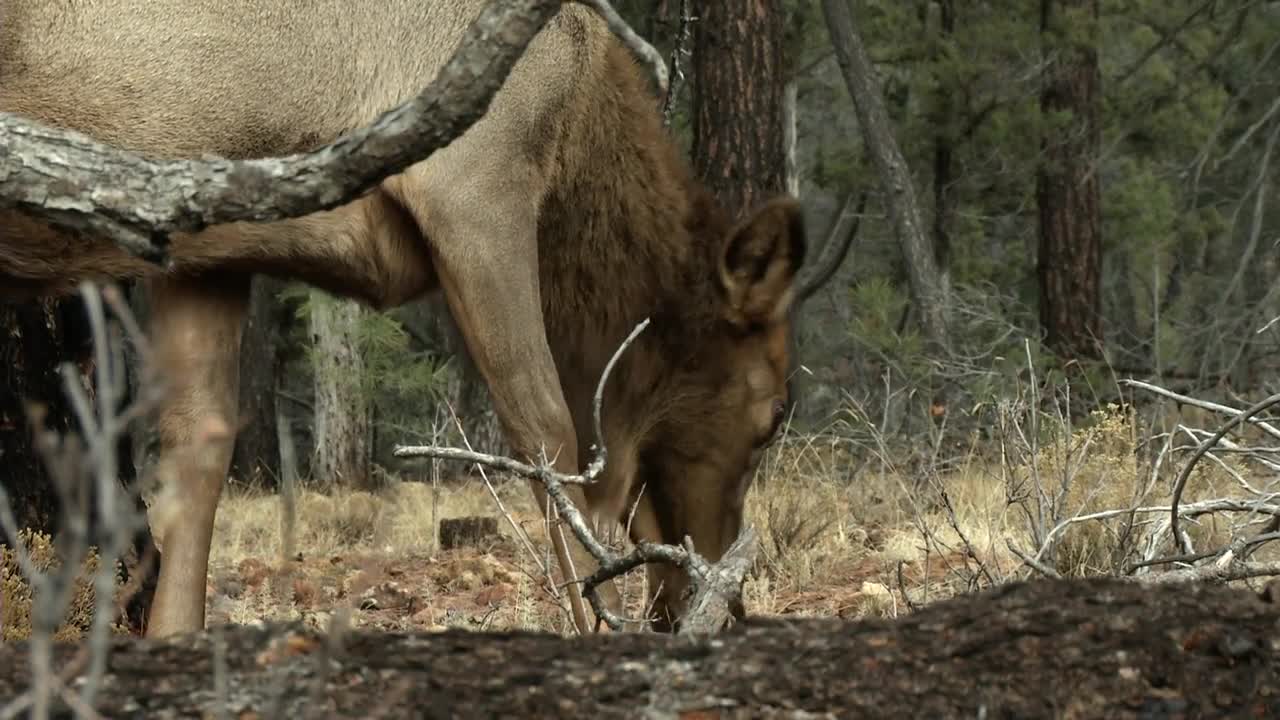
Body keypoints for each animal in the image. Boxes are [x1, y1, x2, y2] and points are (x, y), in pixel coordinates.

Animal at [2, 0, 849, 632]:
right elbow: (546, 432)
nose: (723, 606)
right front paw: (596, 625)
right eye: (774, 412)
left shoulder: (206, 243)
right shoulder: (475, 185)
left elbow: (198, 449)